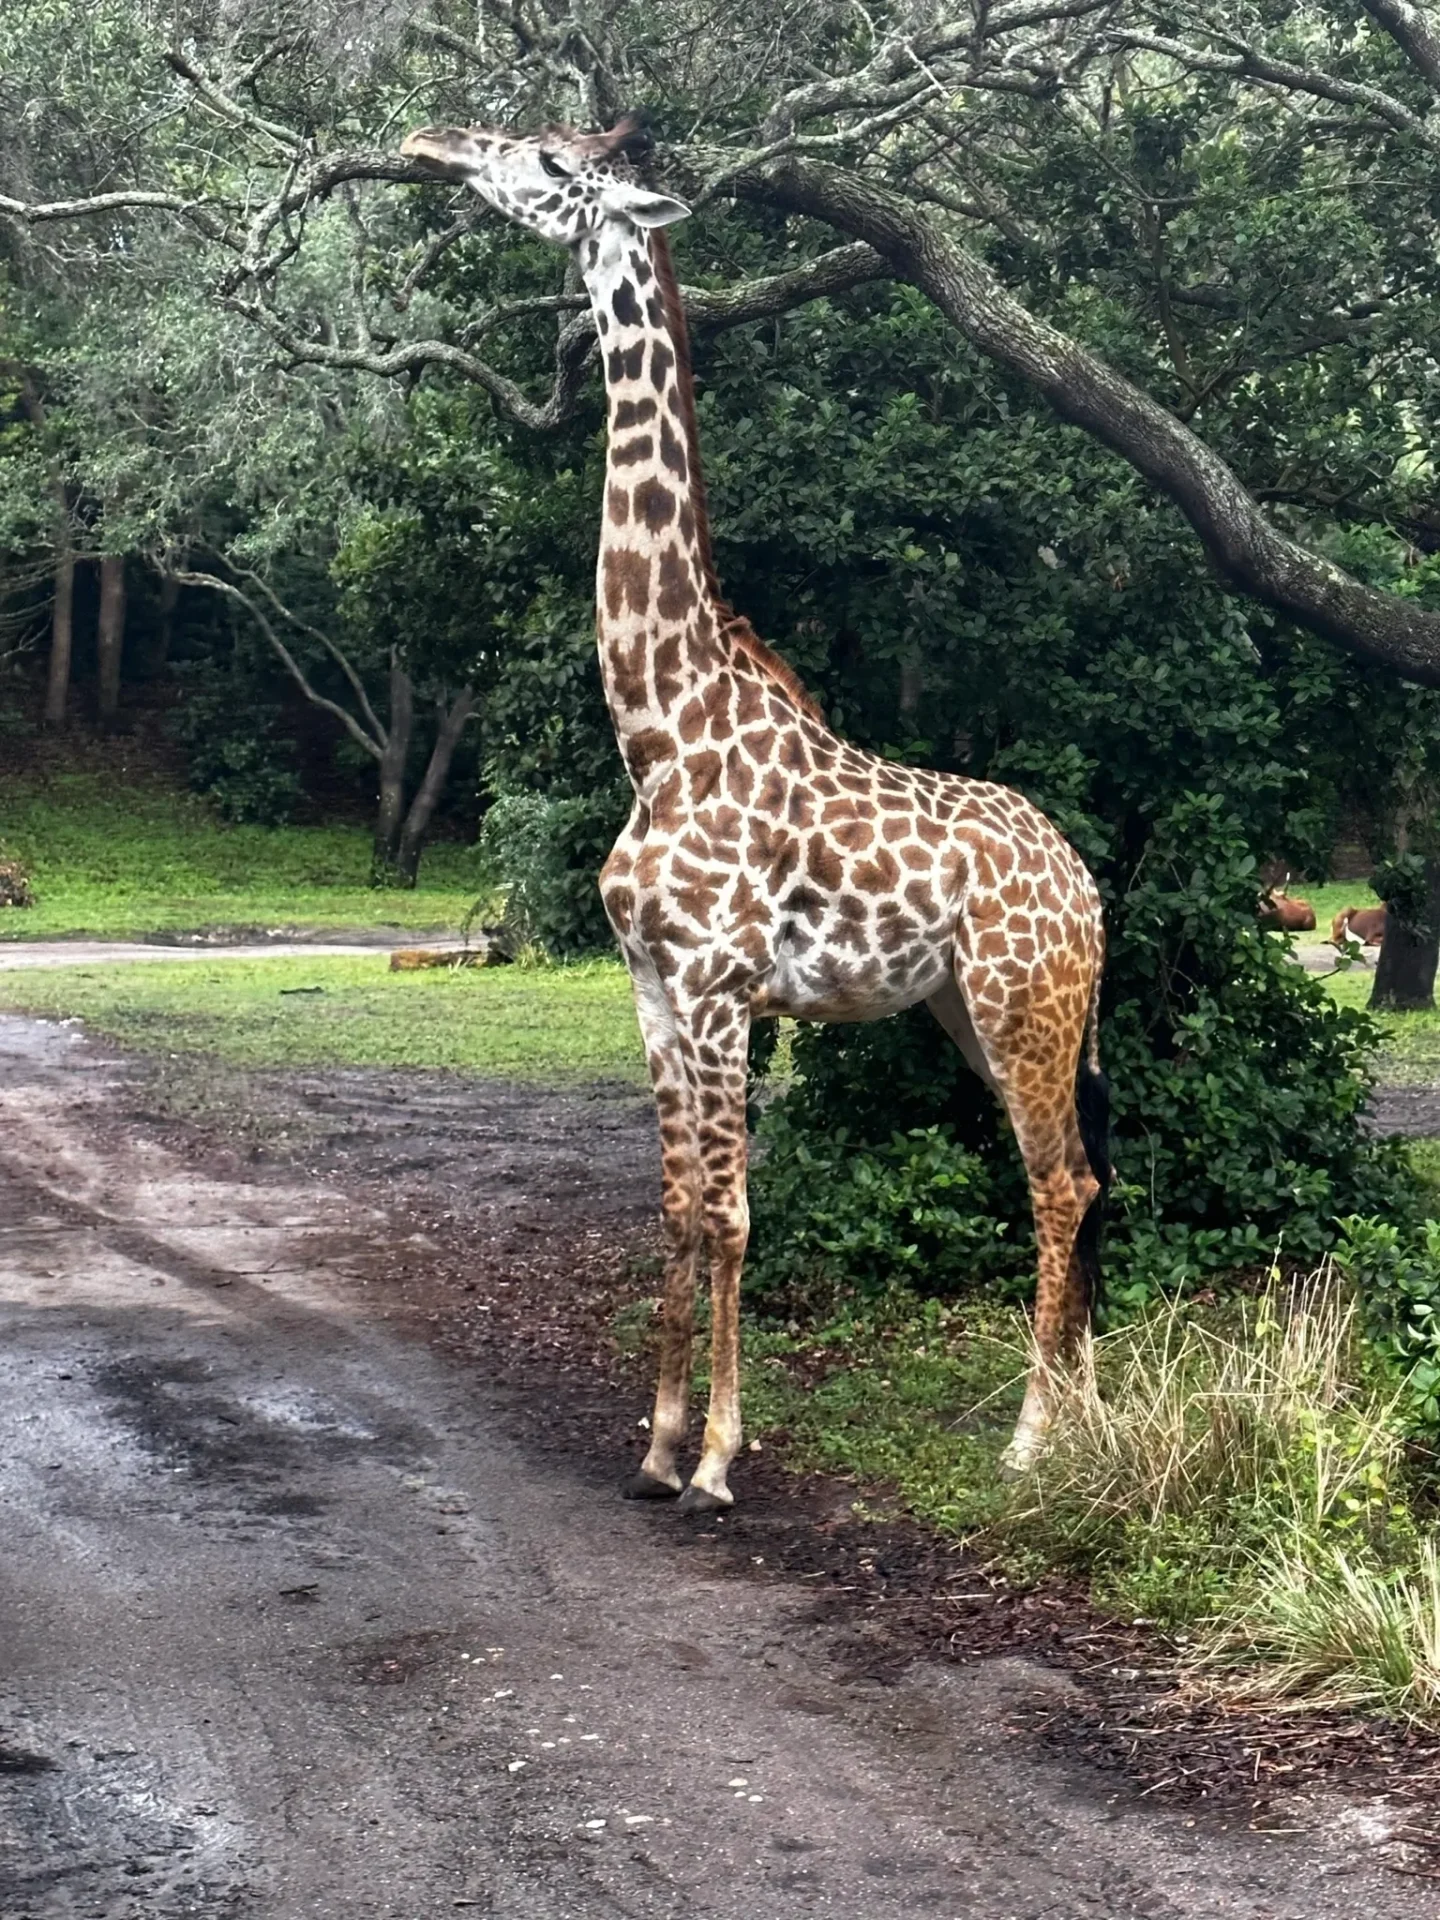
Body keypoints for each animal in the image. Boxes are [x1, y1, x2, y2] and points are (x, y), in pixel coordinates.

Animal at [407, 112, 1113, 1505]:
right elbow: (681, 1208)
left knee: (1060, 1183)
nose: (432, 140)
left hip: (1026, 1009)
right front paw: (656, 1446)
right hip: (965, 1013)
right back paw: (1094, 1418)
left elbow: (735, 1212)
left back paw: (1032, 1439)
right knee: (1079, 1173)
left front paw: (721, 1460)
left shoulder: (726, 985)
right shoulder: (650, 984)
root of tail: (1089, 887)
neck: (659, 732)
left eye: (549, 164)